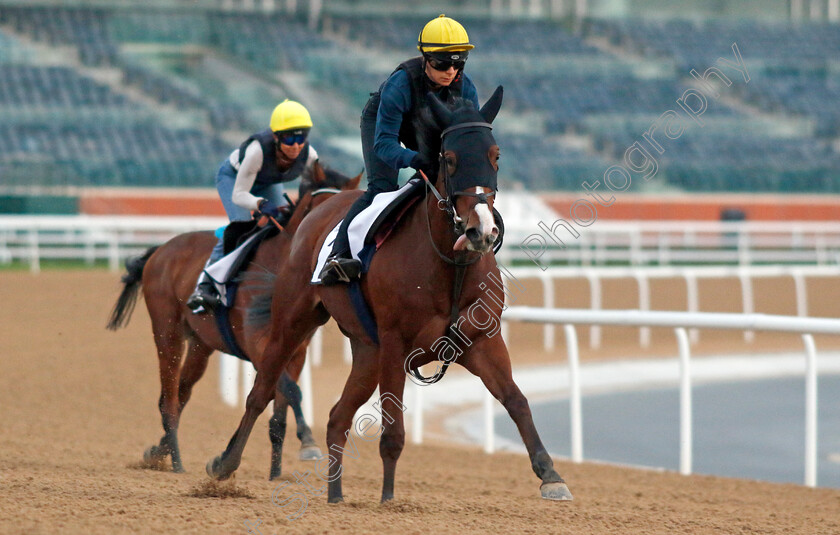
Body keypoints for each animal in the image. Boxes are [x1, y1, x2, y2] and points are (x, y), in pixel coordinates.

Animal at [106, 162, 360, 478]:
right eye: (324, 209)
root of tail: (160, 250)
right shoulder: (257, 346)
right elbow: (291, 391)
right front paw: (308, 443)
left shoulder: (296, 350)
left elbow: (280, 412)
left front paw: (275, 474)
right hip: (167, 331)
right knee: (169, 399)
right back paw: (176, 463)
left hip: (201, 345)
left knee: (182, 393)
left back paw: (158, 452)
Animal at [205, 87, 572, 502]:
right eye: (449, 159)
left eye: (495, 155)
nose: (482, 231)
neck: (450, 265)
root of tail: (315, 211)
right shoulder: (397, 343)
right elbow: (393, 428)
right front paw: (388, 498)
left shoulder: (482, 341)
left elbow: (516, 400)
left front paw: (551, 475)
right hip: (294, 320)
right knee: (262, 390)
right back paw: (224, 464)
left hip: (368, 350)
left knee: (337, 415)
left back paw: (335, 495)